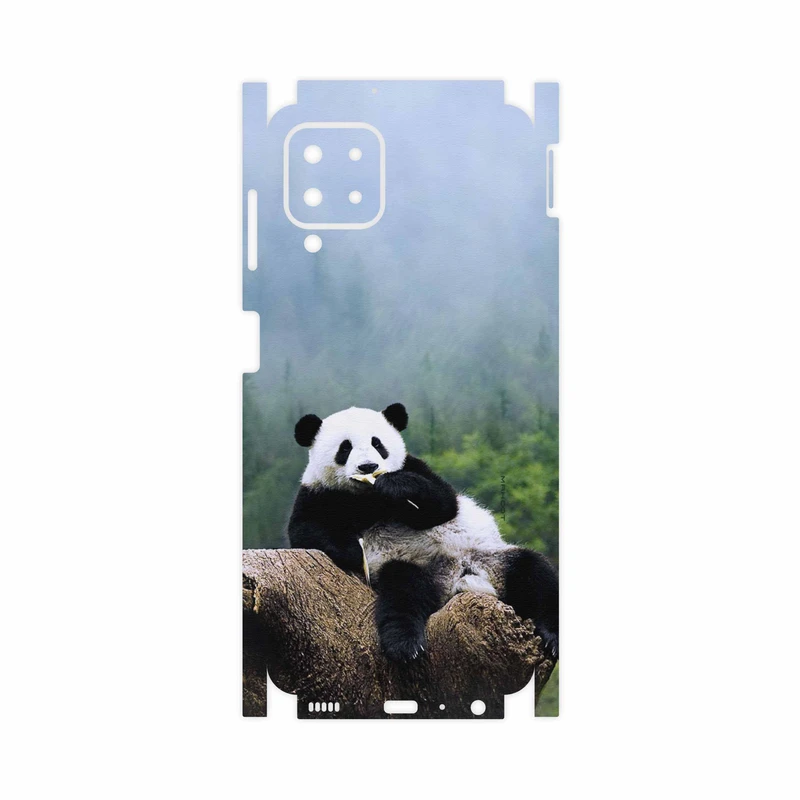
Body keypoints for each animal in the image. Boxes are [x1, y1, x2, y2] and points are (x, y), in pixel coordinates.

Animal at [288, 403, 559, 662]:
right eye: (345, 448)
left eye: (378, 444)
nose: (368, 466)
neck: (367, 497)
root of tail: (457, 578)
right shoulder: (319, 493)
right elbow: (306, 530)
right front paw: (355, 552)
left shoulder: (415, 467)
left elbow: (443, 503)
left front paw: (395, 486)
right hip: (412, 566)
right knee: (403, 592)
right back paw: (405, 644)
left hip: (491, 558)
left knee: (535, 573)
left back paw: (552, 636)